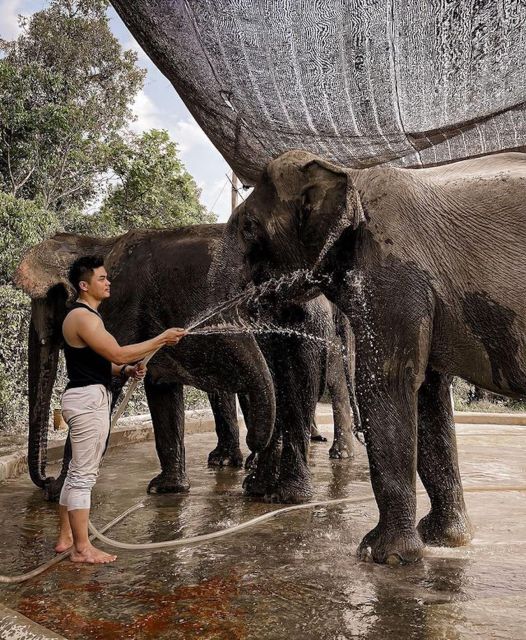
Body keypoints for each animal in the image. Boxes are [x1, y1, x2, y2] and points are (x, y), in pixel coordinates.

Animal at [15, 222, 354, 502]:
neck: (97, 244)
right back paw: (267, 489)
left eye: (42, 302)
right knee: (288, 389)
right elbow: (161, 390)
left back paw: (283, 490)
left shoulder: (120, 307)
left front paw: (57, 494)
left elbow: (113, 377)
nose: (44, 480)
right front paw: (166, 489)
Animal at [230, 150, 526, 564]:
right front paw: (444, 541)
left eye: (249, 227)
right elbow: (428, 396)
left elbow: (389, 382)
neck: (350, 176)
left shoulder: (392, 273)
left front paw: (380, 555)